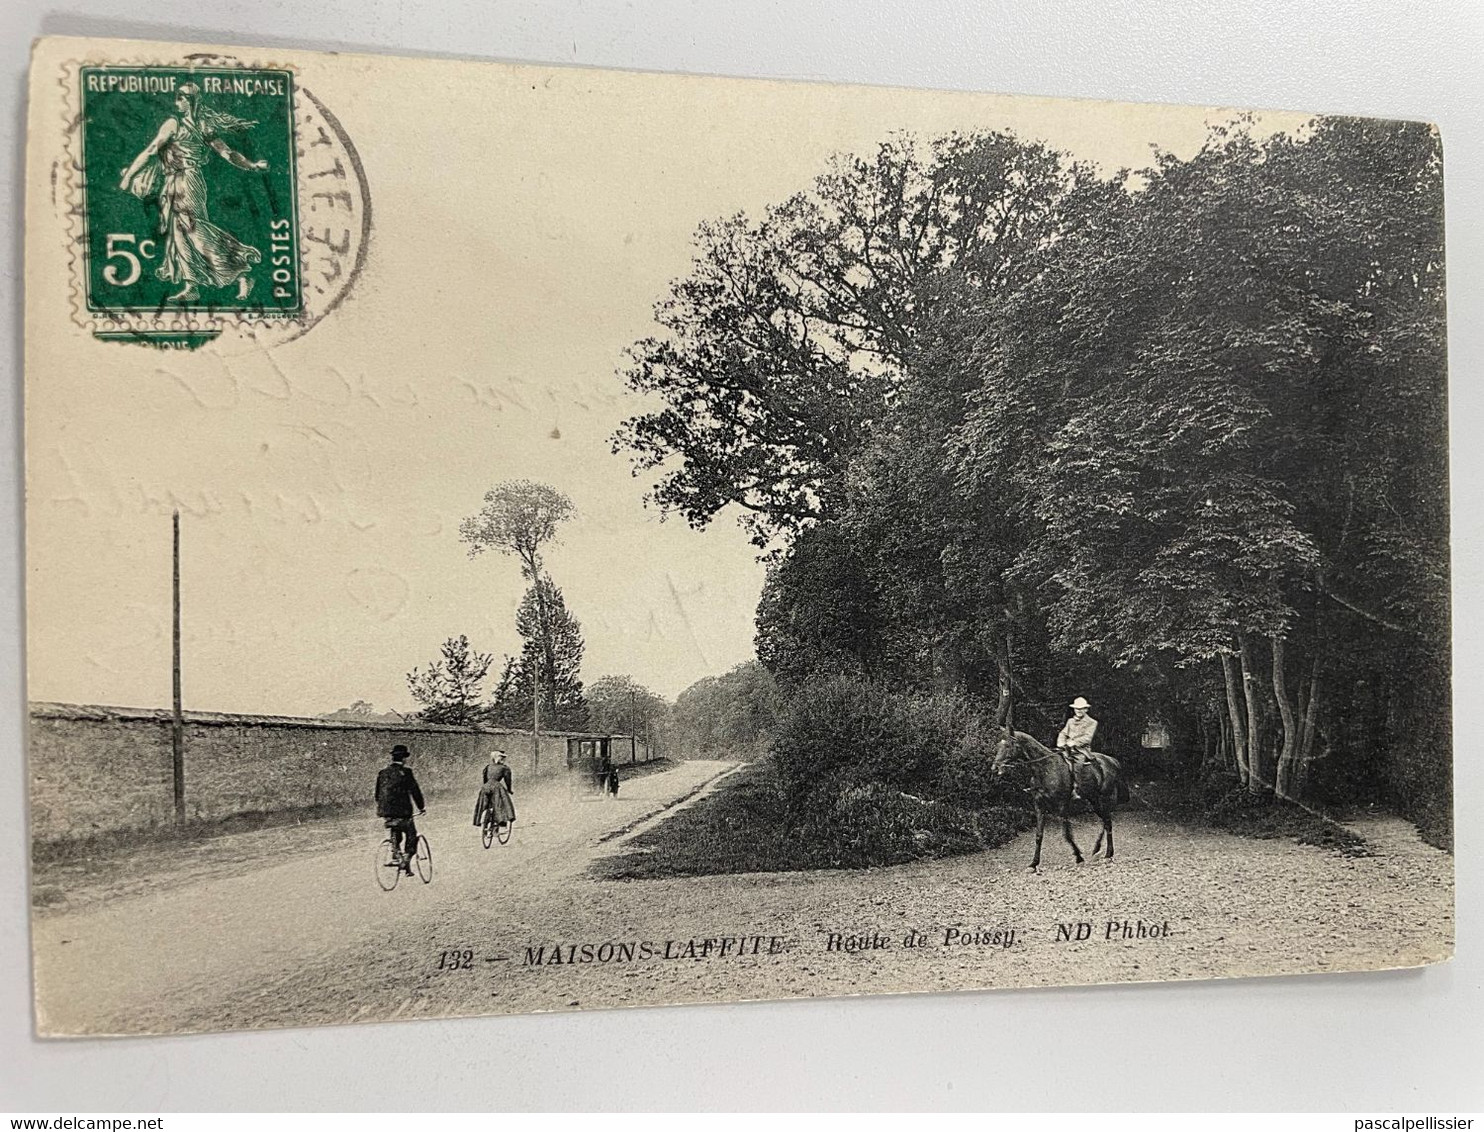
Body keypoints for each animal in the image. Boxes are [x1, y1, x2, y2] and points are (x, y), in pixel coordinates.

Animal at [991, 729, 1127, 872]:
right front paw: (1033, 863)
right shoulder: (1039, 806)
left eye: (1008, 746)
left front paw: (1079, 857)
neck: (1045, 768)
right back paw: (1099, 851)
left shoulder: (1062, 806)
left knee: (1108, 822)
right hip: (1094, 801)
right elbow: (1039, 835)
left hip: (1104, 799)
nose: (995, 768)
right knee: (1105, 822)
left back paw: (1106, 853)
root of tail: (1111, 760)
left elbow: (1067, 834)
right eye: (998, 745)